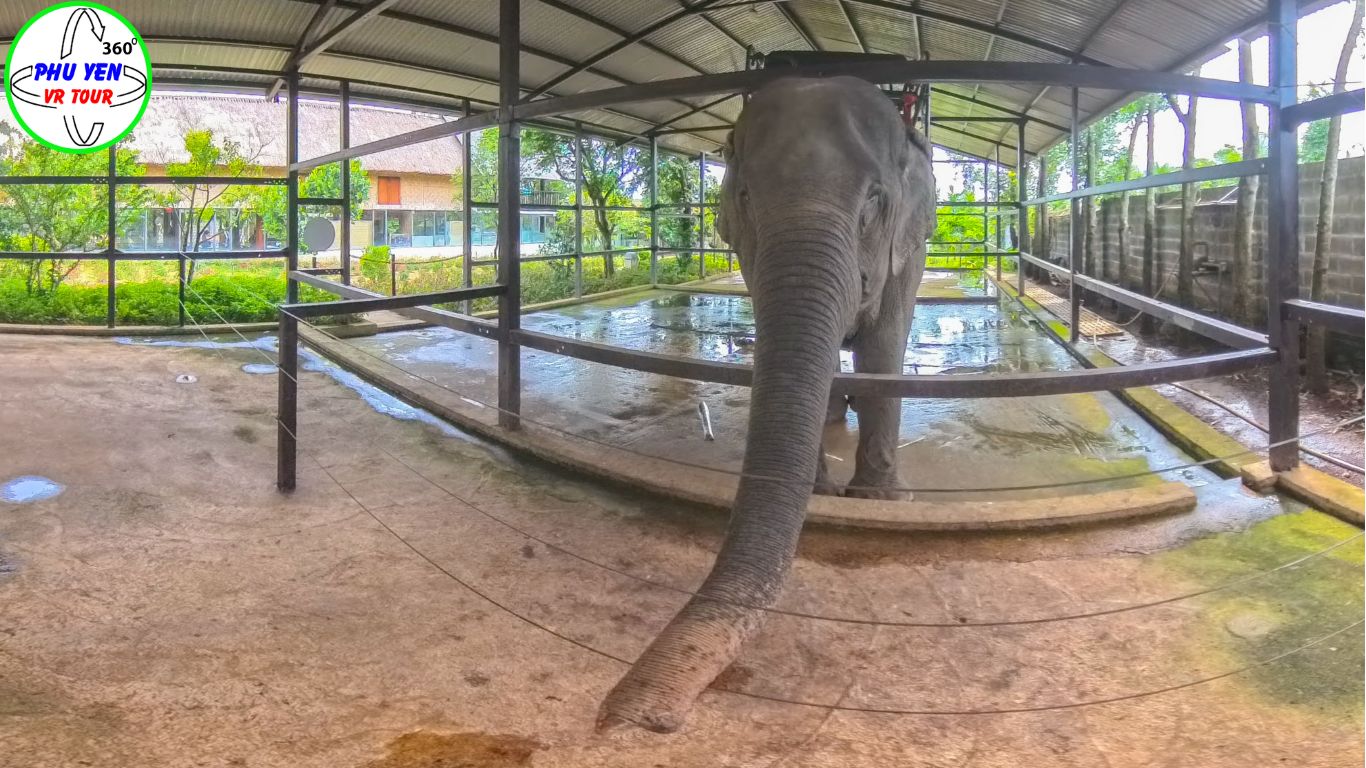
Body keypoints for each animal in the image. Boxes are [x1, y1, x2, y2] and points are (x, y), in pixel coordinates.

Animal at [598, 75, 936, 733]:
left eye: (875, 200)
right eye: (746, 195)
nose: (635, 716)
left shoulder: (906, 246)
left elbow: (885, 344)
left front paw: (882, 501)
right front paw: (823, 492)